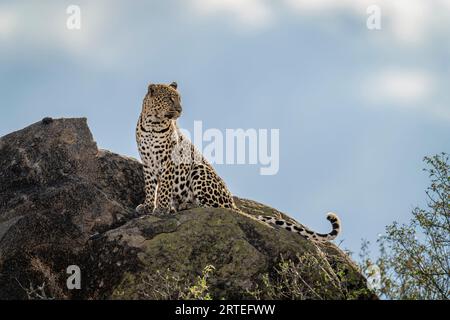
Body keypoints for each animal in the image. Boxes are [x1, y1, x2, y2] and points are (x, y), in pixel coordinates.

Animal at [135, 81, 340, 241]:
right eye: (170, 99)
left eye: (179, 98)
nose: (180, 109)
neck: (153, 124)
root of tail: (233, 203)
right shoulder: (148, 162)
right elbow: (150, 186)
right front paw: (147, 206)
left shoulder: (169, 161)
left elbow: (164, 187)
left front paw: (161, 209)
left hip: (200, 170)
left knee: (216, 208)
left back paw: (187, 205)